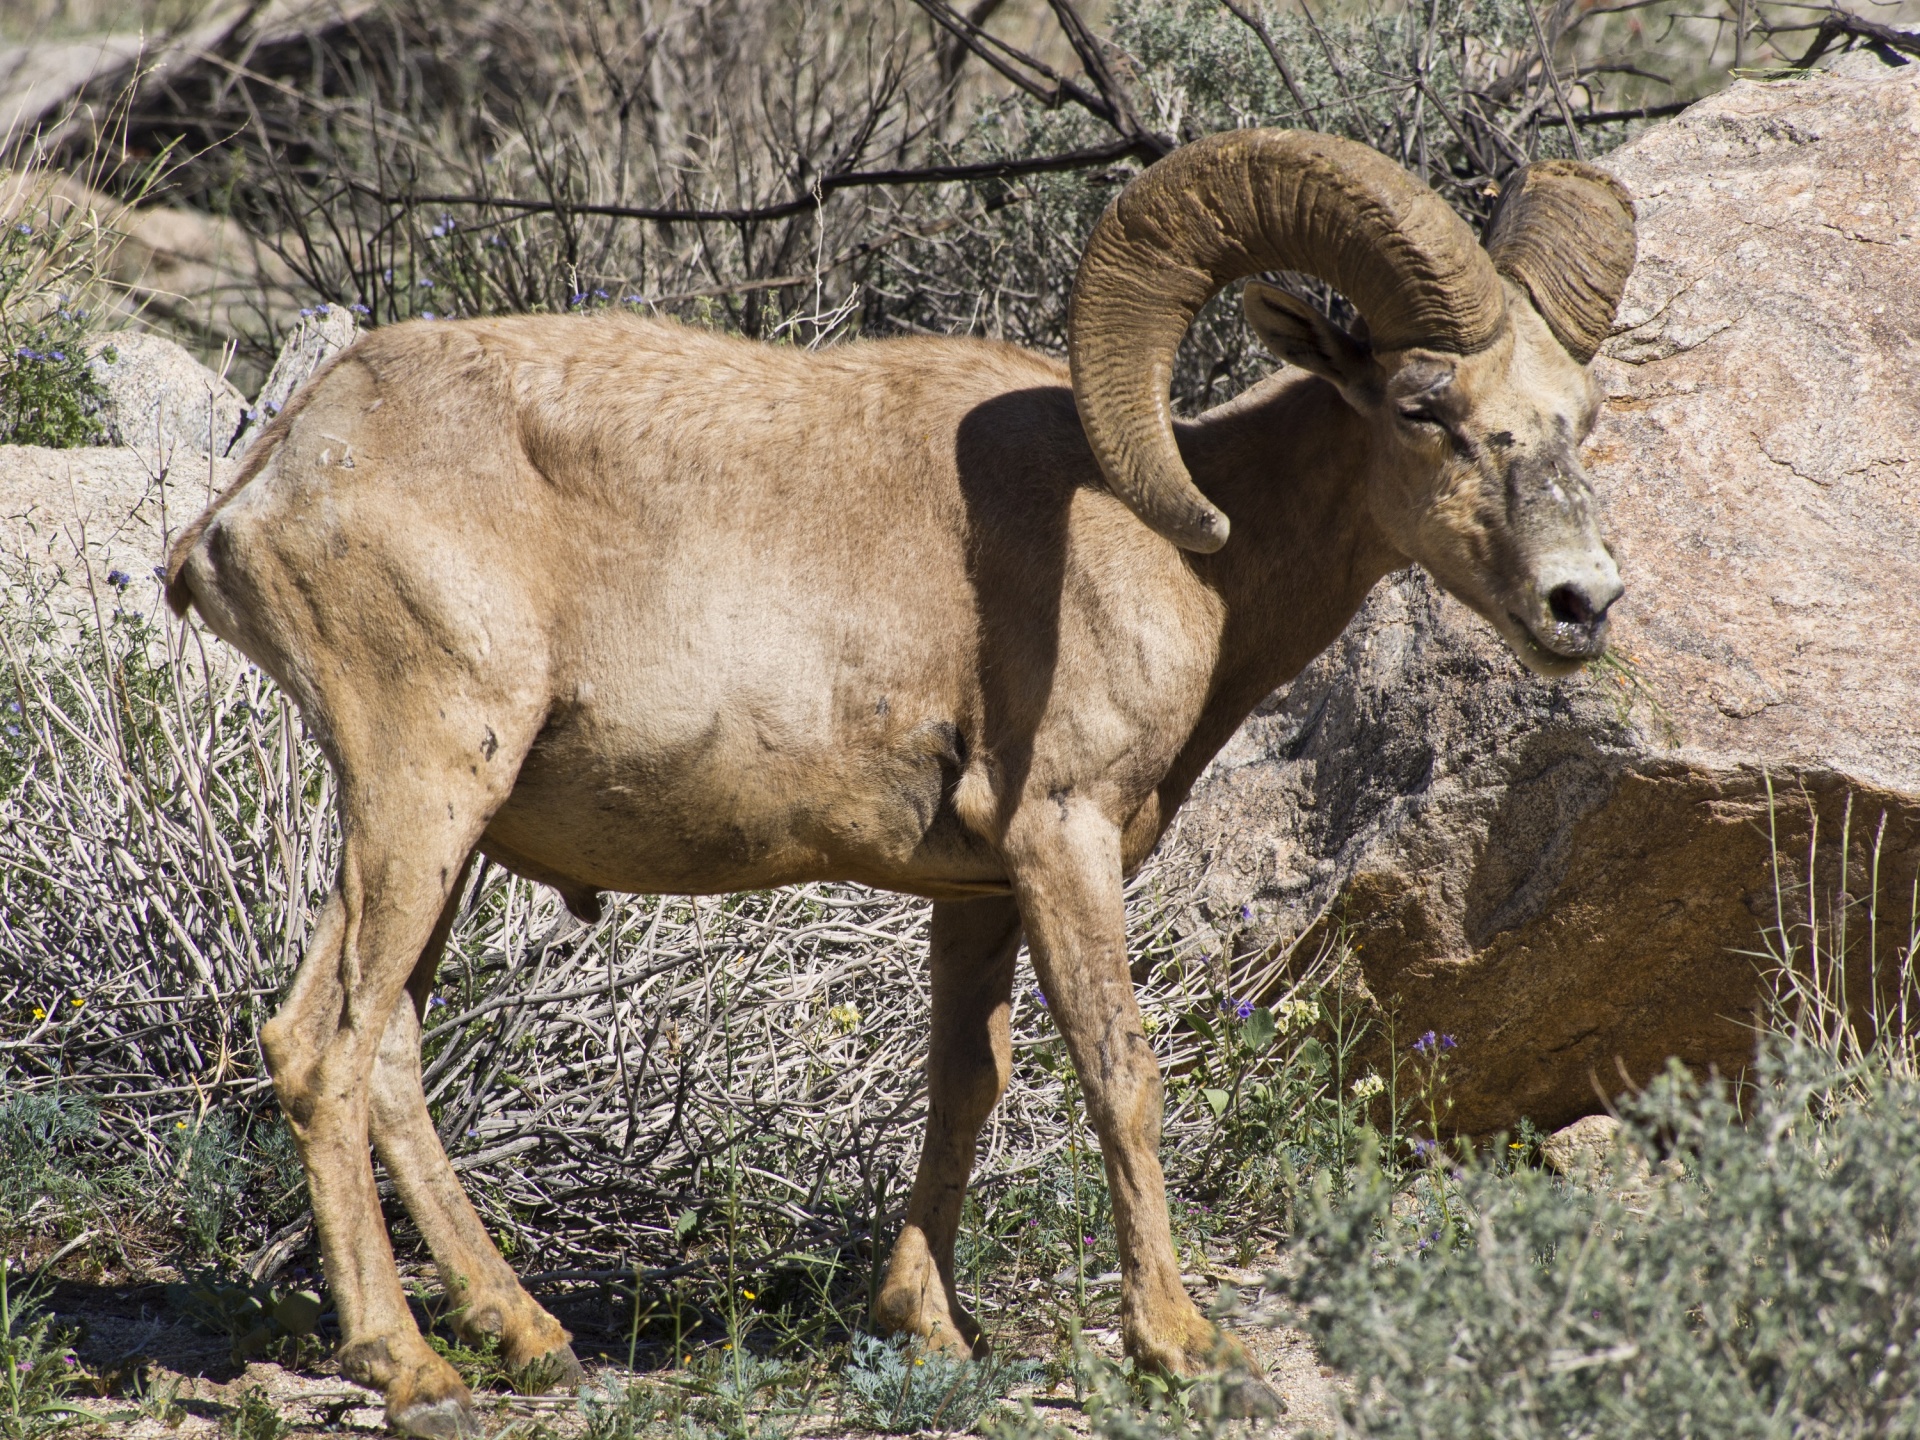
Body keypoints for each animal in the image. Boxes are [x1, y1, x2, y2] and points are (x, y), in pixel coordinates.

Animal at [165, 132, 1635, 1436]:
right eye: (1425, 409)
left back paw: (527, 1338)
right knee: (326, 1052)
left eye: (1575, 421)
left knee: (378, 1053)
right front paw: (1183, 1347)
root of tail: (260, 493)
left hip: (446, 835)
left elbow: (965, 1084)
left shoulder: (976, 892)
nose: (1582, 603)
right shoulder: (1062, 841)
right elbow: (1118, 1071)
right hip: (420, 792)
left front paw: (927, 1326)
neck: (1182, 551)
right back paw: (412, 1370)